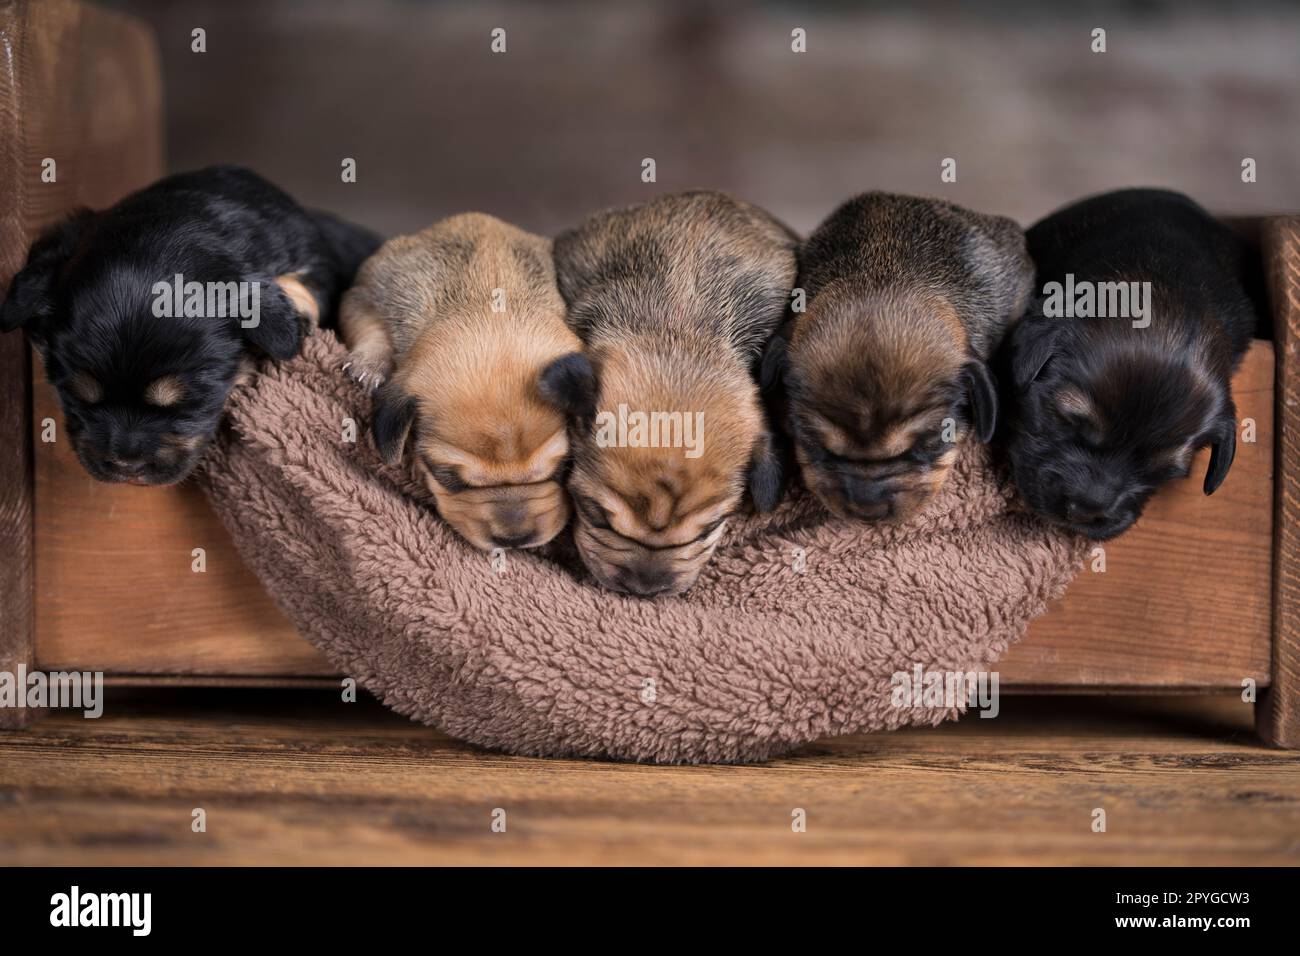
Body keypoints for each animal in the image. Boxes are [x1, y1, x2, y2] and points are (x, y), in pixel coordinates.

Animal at [345, 212, 590, 548]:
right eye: (448, 477)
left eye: (563, 468)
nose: (514, 539)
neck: (485, 299)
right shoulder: (364, 292)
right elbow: (368, 326)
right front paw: (370, 364)